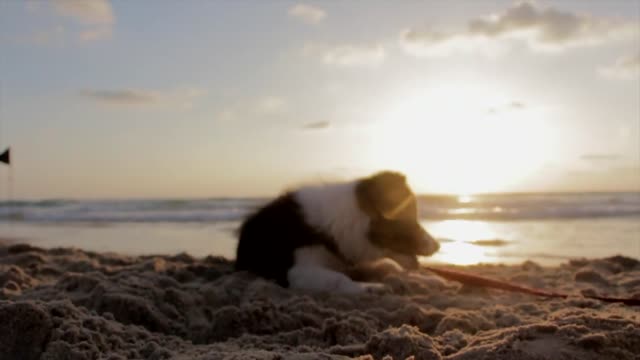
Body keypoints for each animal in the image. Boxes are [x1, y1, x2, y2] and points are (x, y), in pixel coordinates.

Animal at [235, 171, 440, 292]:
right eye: (411, 220)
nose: (438, 245)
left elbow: (391, 268)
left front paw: (426, 280)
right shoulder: (296, 270)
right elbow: (339, 279)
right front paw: (369, 288)